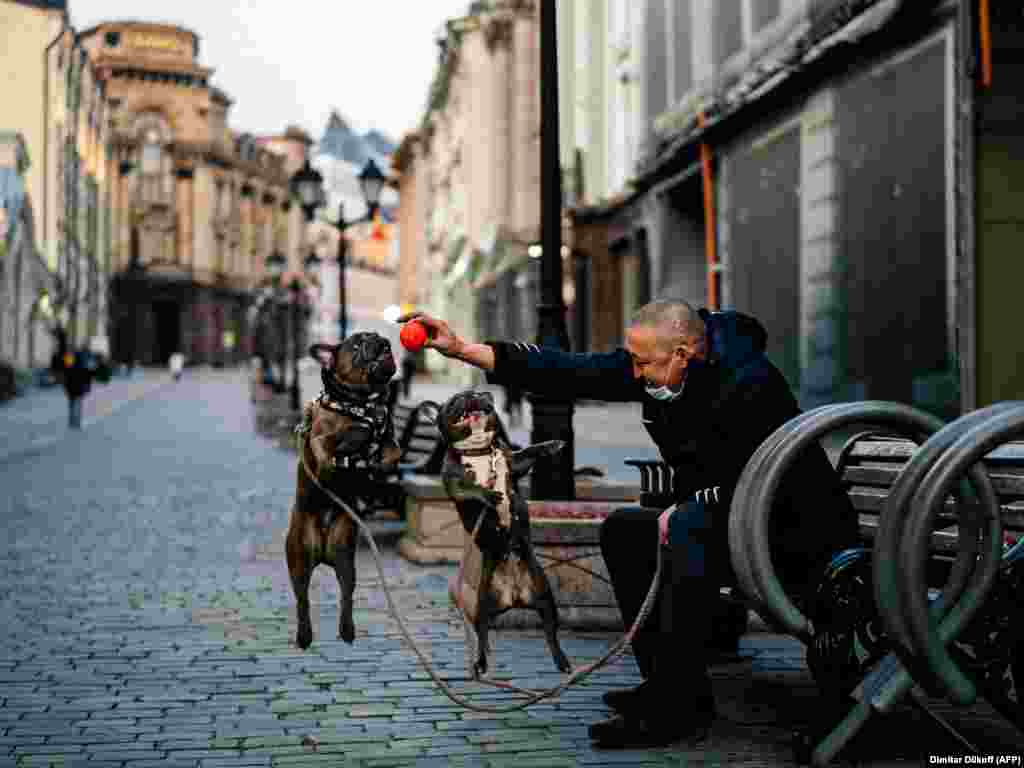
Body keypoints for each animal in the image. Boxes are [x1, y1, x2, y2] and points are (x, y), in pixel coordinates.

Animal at [288, 333, 403, 651]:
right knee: (302, 601)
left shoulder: (389, 439)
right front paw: (349, 450)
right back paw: (304, 636)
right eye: (358, 344)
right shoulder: (319, 441)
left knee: (346, 596)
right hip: (298, 561)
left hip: (345, 560)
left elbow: (392, 451)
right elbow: (332, 449)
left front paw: (373, 465)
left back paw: (347, 630)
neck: (364, 402)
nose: (382, 341)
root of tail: (323, 547)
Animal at [436, 391, 573, 679]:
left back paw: (562, 662)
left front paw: (552, 445)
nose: (470, 394)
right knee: (482, 634)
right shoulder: (454, 482)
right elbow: (470, 487)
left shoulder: (514, 462)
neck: (478, 450)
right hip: (481, 606)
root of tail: (516, 594)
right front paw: (489, 494)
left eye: (477, 395)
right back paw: (480, 664)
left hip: (546, 598)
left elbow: (529, 452)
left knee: (550, 633)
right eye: (454, 401)